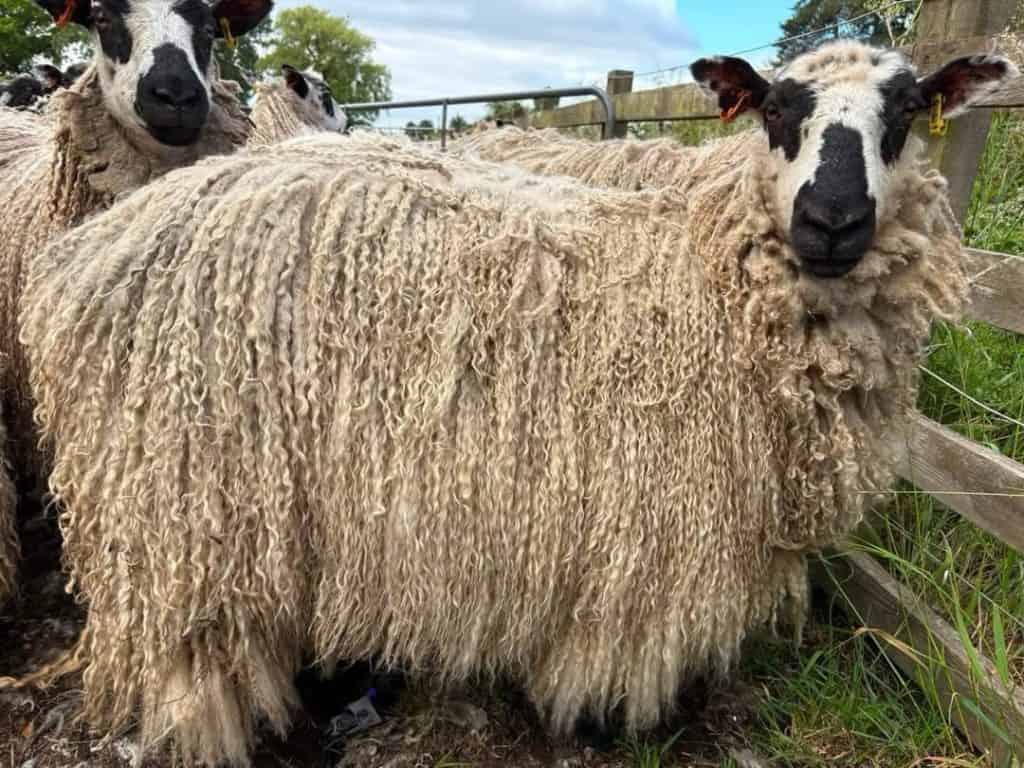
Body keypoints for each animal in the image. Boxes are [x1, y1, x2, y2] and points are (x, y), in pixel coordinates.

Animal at [21, 40, 1012, 764]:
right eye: (777, 110)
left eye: (904, 115)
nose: (832, 223)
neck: (711, 282)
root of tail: (87, 258)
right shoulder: (650, 536)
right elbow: (617, 657)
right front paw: (605, 723)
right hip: (184, 516)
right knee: (191, 656)